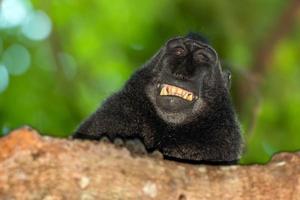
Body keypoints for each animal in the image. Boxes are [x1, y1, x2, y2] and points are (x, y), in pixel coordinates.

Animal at [73, 33, 244, 164]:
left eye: (202, 57)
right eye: (179, 52)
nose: (181, 72)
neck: (168, 128)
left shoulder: (224, 140)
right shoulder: (116, 111)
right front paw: (125, 145)